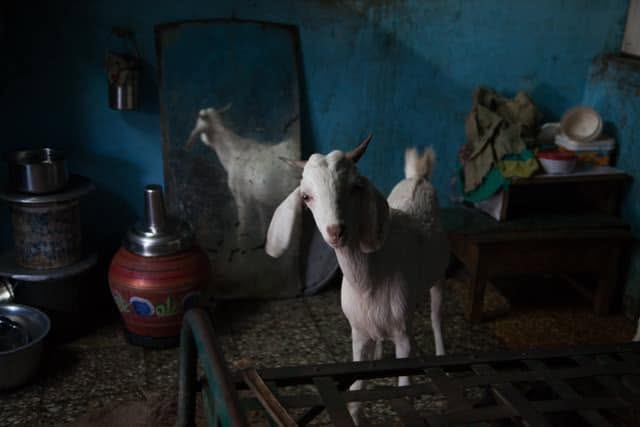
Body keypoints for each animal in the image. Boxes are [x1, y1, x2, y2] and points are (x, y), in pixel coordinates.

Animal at [265, 136, 450, 423]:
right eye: (306, 196)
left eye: (354, 187)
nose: (336, 231)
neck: (370, 280)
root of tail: (418, 177)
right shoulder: (358, 333)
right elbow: (355, 396)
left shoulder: (403, 336)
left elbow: (405, 390)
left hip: (439, 275)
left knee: (436, 315)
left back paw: (441, 354)